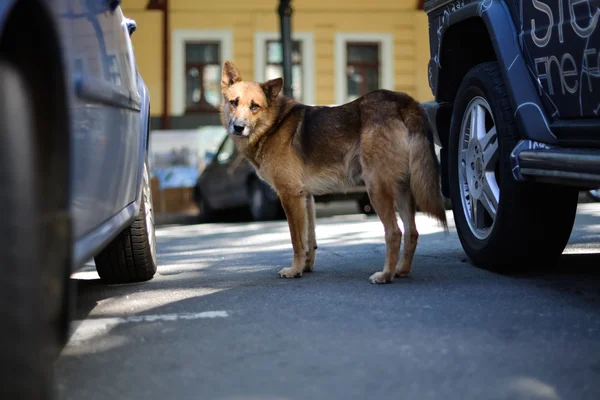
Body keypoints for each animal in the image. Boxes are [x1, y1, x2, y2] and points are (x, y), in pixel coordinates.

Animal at [219, 61, 446, 282]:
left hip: (377, 188)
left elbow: (296, 240)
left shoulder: (289, 196)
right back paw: (401, 270)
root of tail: (401, 100)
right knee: (412, 232)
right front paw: (306, 268)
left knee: (395, 232)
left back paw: (385, 275)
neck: (274, 124)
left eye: (254, 106)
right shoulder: (305, 197)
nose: (238, 127)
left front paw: (294, 271)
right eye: (234, 102)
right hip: (401, 189)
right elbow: (309, 239)